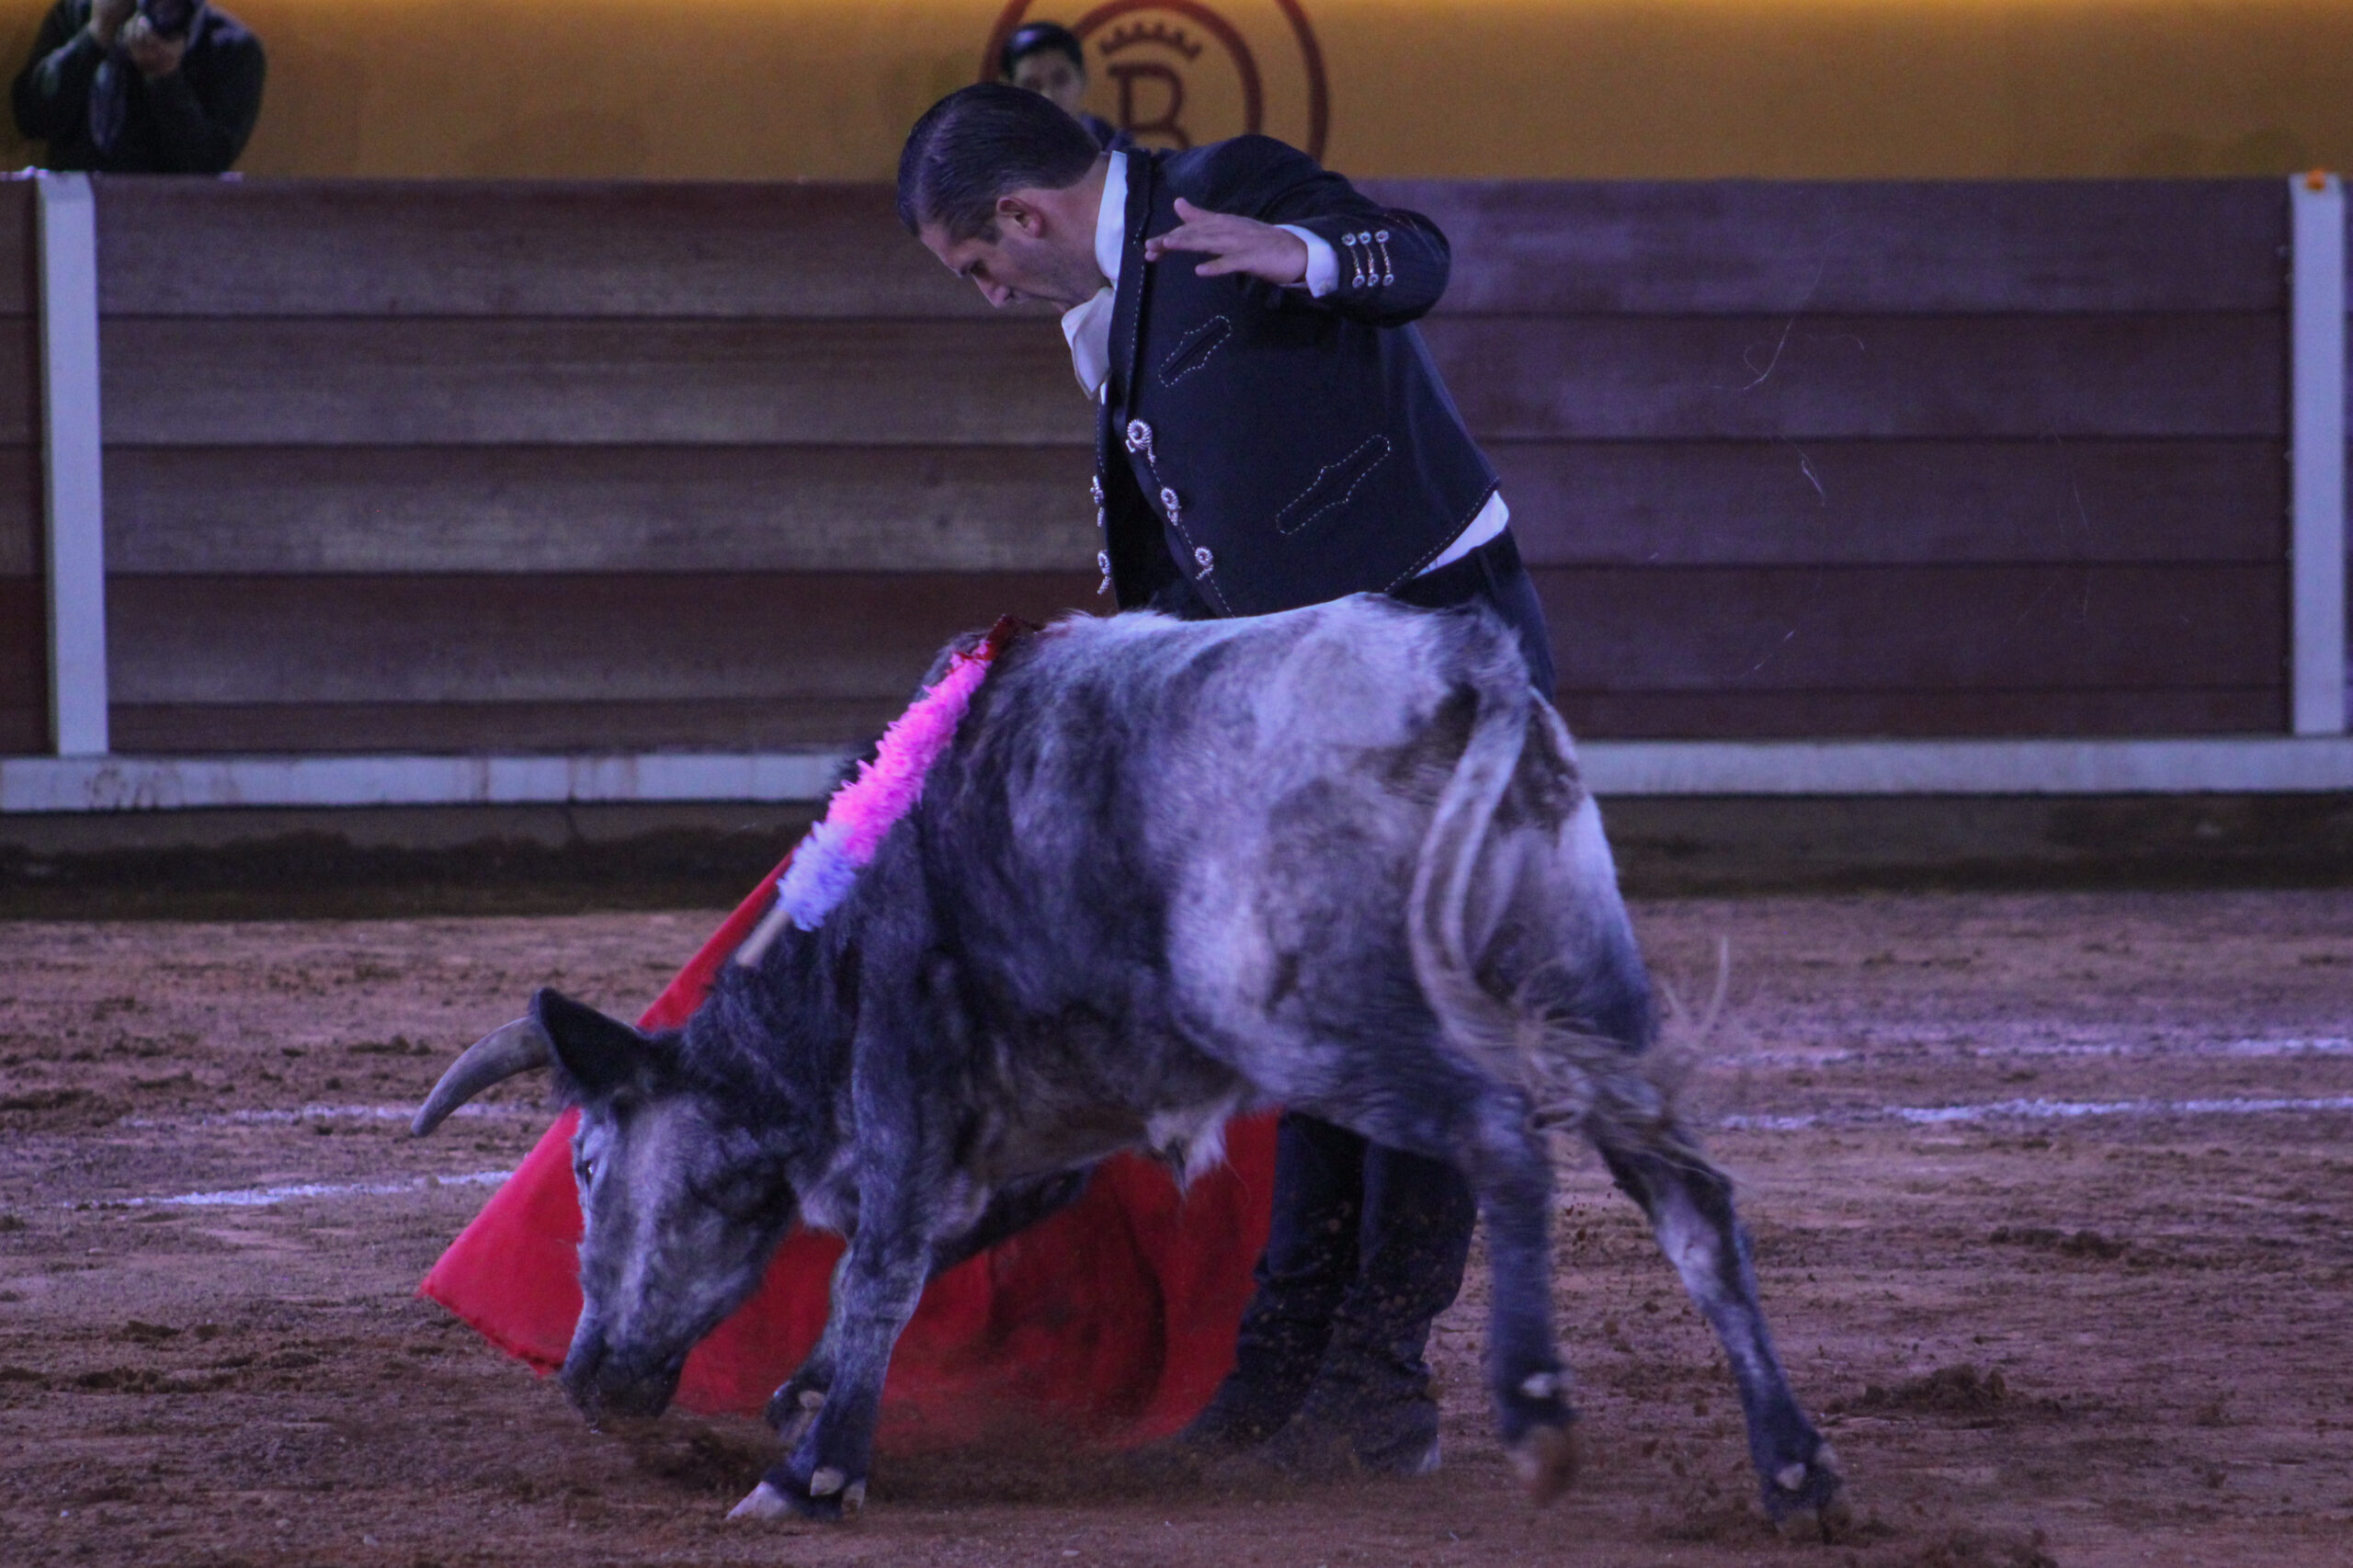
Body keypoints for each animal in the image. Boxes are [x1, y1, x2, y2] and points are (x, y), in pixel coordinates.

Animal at [418, 596, 1854, 1525]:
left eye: (591, 1164)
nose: (591, 1378)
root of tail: (1465, 669)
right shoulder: (1039, 1133)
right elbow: (928, 1248)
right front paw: (807, 1392)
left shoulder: (905, 1073)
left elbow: (882, 1260)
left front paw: (815, 1467)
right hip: (1583, 977)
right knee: (1693, 1204)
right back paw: (1792, 1471)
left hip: (1322, 1022)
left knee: (1503, 1140)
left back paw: (1539, 1412)